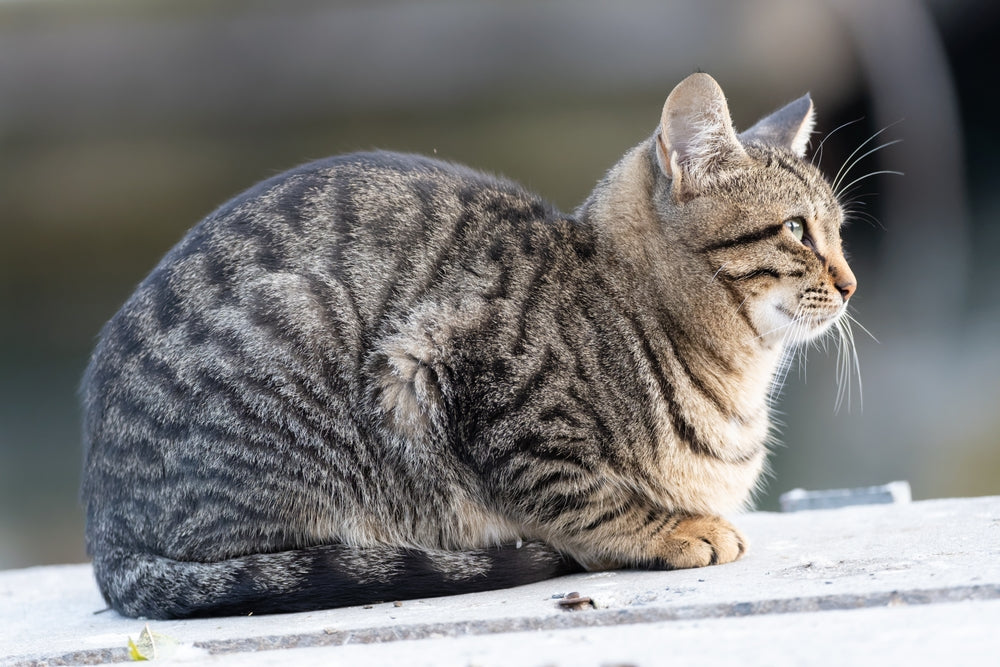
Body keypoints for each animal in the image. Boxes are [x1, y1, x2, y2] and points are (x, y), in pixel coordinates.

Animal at [80, 70, 860, 620]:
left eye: (839, 228)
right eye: (797, 229)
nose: (851, 283)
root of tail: (104, 533)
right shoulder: (455, 375)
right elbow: (584, 498)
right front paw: (671, 528)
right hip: (304, 338)